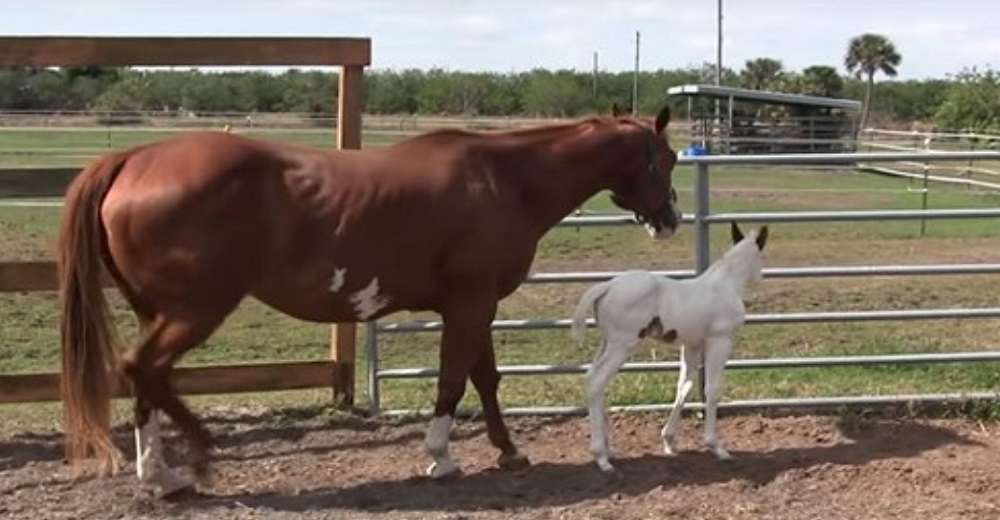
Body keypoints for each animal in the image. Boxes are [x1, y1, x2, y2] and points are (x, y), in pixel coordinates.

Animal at [58, 103, 684, 494]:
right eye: (670, 159)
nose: (671, 220)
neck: (502, 178)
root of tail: (132, 160)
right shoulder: (470, 303)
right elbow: (454, 379)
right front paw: (440, 456)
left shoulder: (476, 305)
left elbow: (485, 378)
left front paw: (508, 451)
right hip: (193, 312)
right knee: (143, 368)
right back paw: (200, 455)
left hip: (157, 312)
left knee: (145, 379)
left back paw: (160, 476)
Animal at [572, 221, 764, 474]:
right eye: (762, 255)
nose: (761, 276)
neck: (724, 285)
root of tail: (608, 285)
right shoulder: (720, 341)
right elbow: (712, 390)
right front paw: (717, 447)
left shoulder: (692, 345)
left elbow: (684, 386)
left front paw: (669, 441)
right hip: (622, 344)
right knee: (596, 380)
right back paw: (601, 457)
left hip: (606, 343)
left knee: (593, 379)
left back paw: (608, 449)